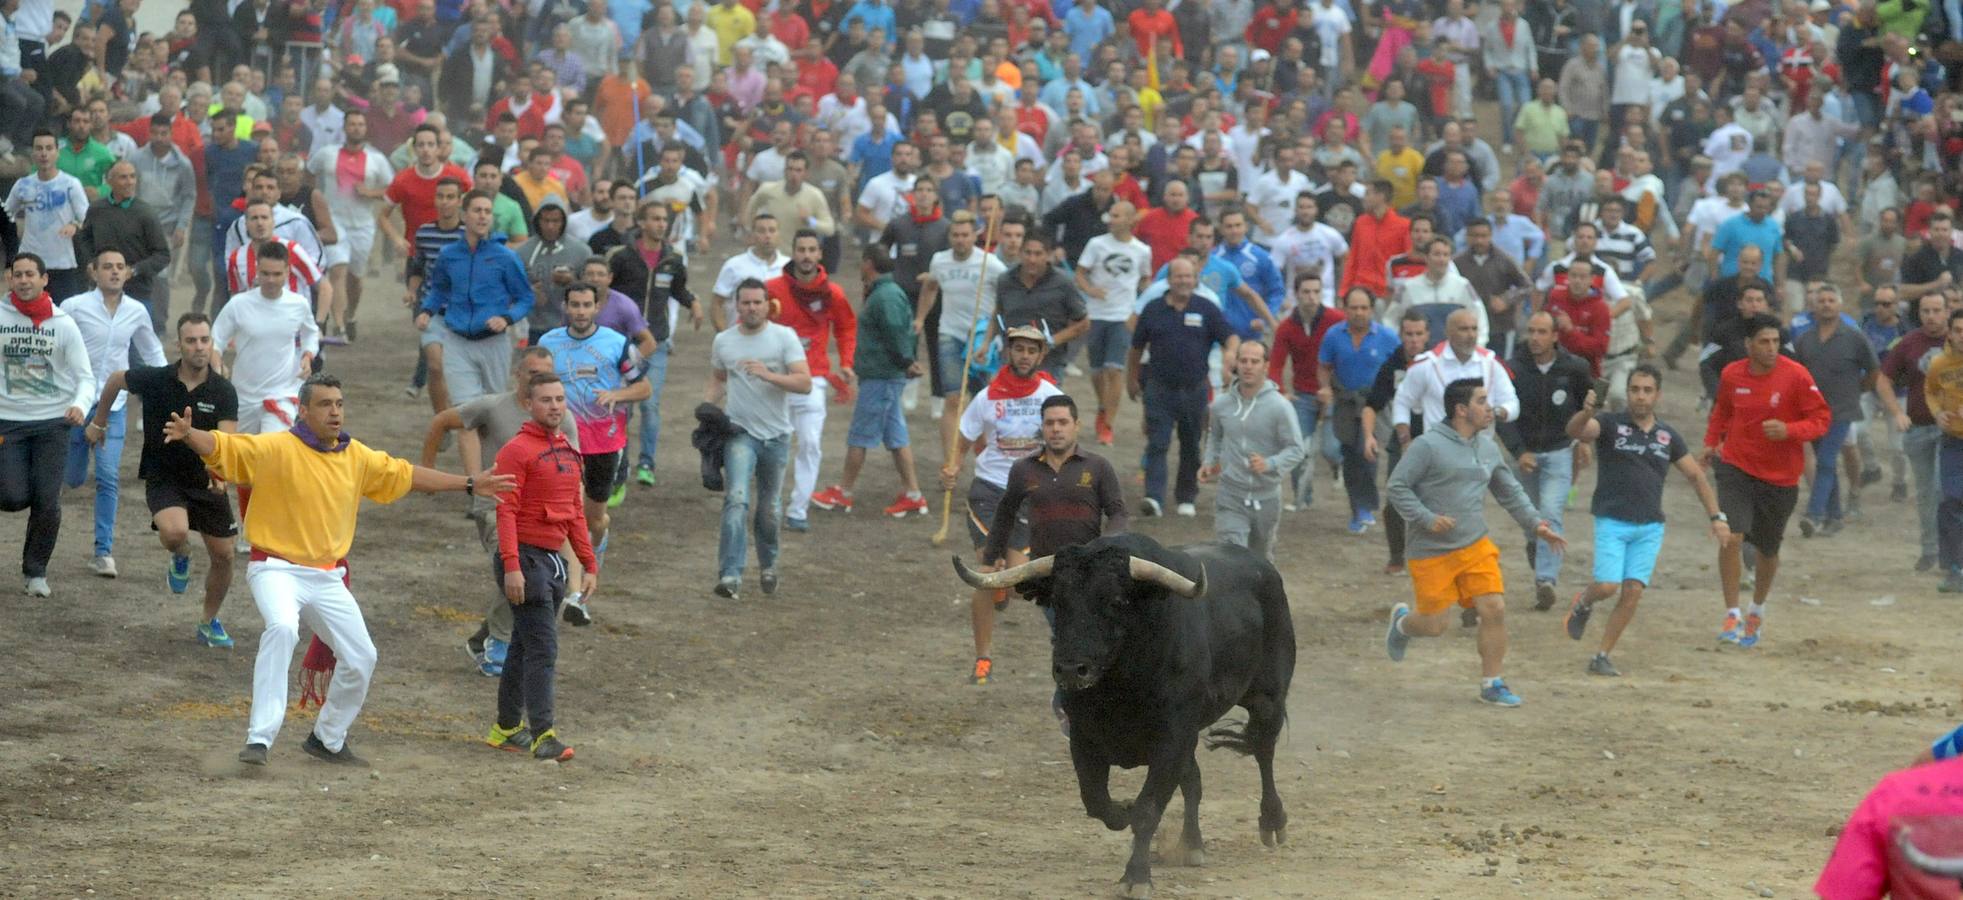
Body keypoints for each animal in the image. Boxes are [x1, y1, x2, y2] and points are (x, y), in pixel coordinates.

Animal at [954, 530, 1295, 896]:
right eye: (1057, 601)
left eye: (1116, 602)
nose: (1072, 670)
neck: (1121, 684)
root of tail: (1264, 569)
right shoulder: (1084, 737)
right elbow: (1096, 800)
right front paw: (1124, 811)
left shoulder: (1172, 737)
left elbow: (1148, 808)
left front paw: (1136, 876)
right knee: (1194, 780)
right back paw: (1191, 844)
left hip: (1268, 698)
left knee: (1263, 750)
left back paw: (1272, 821)